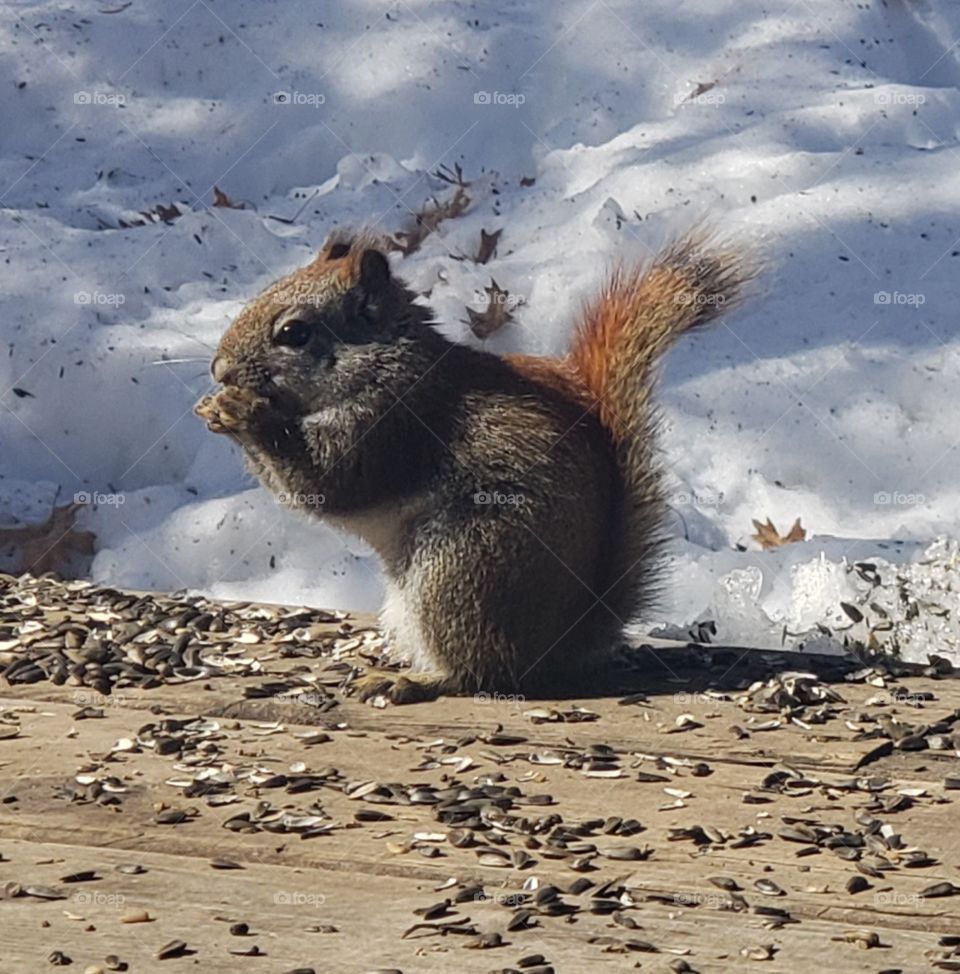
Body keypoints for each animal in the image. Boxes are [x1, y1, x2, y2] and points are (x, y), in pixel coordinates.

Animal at [195, 229, 750, 703]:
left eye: (294, 332)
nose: (219, 370)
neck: (387, 364)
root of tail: (558, 644)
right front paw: (215, 407)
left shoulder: (391, 425)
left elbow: (328, 483)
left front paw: (242, 413)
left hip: (462, 568)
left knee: (481, 672)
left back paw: (413, 682)